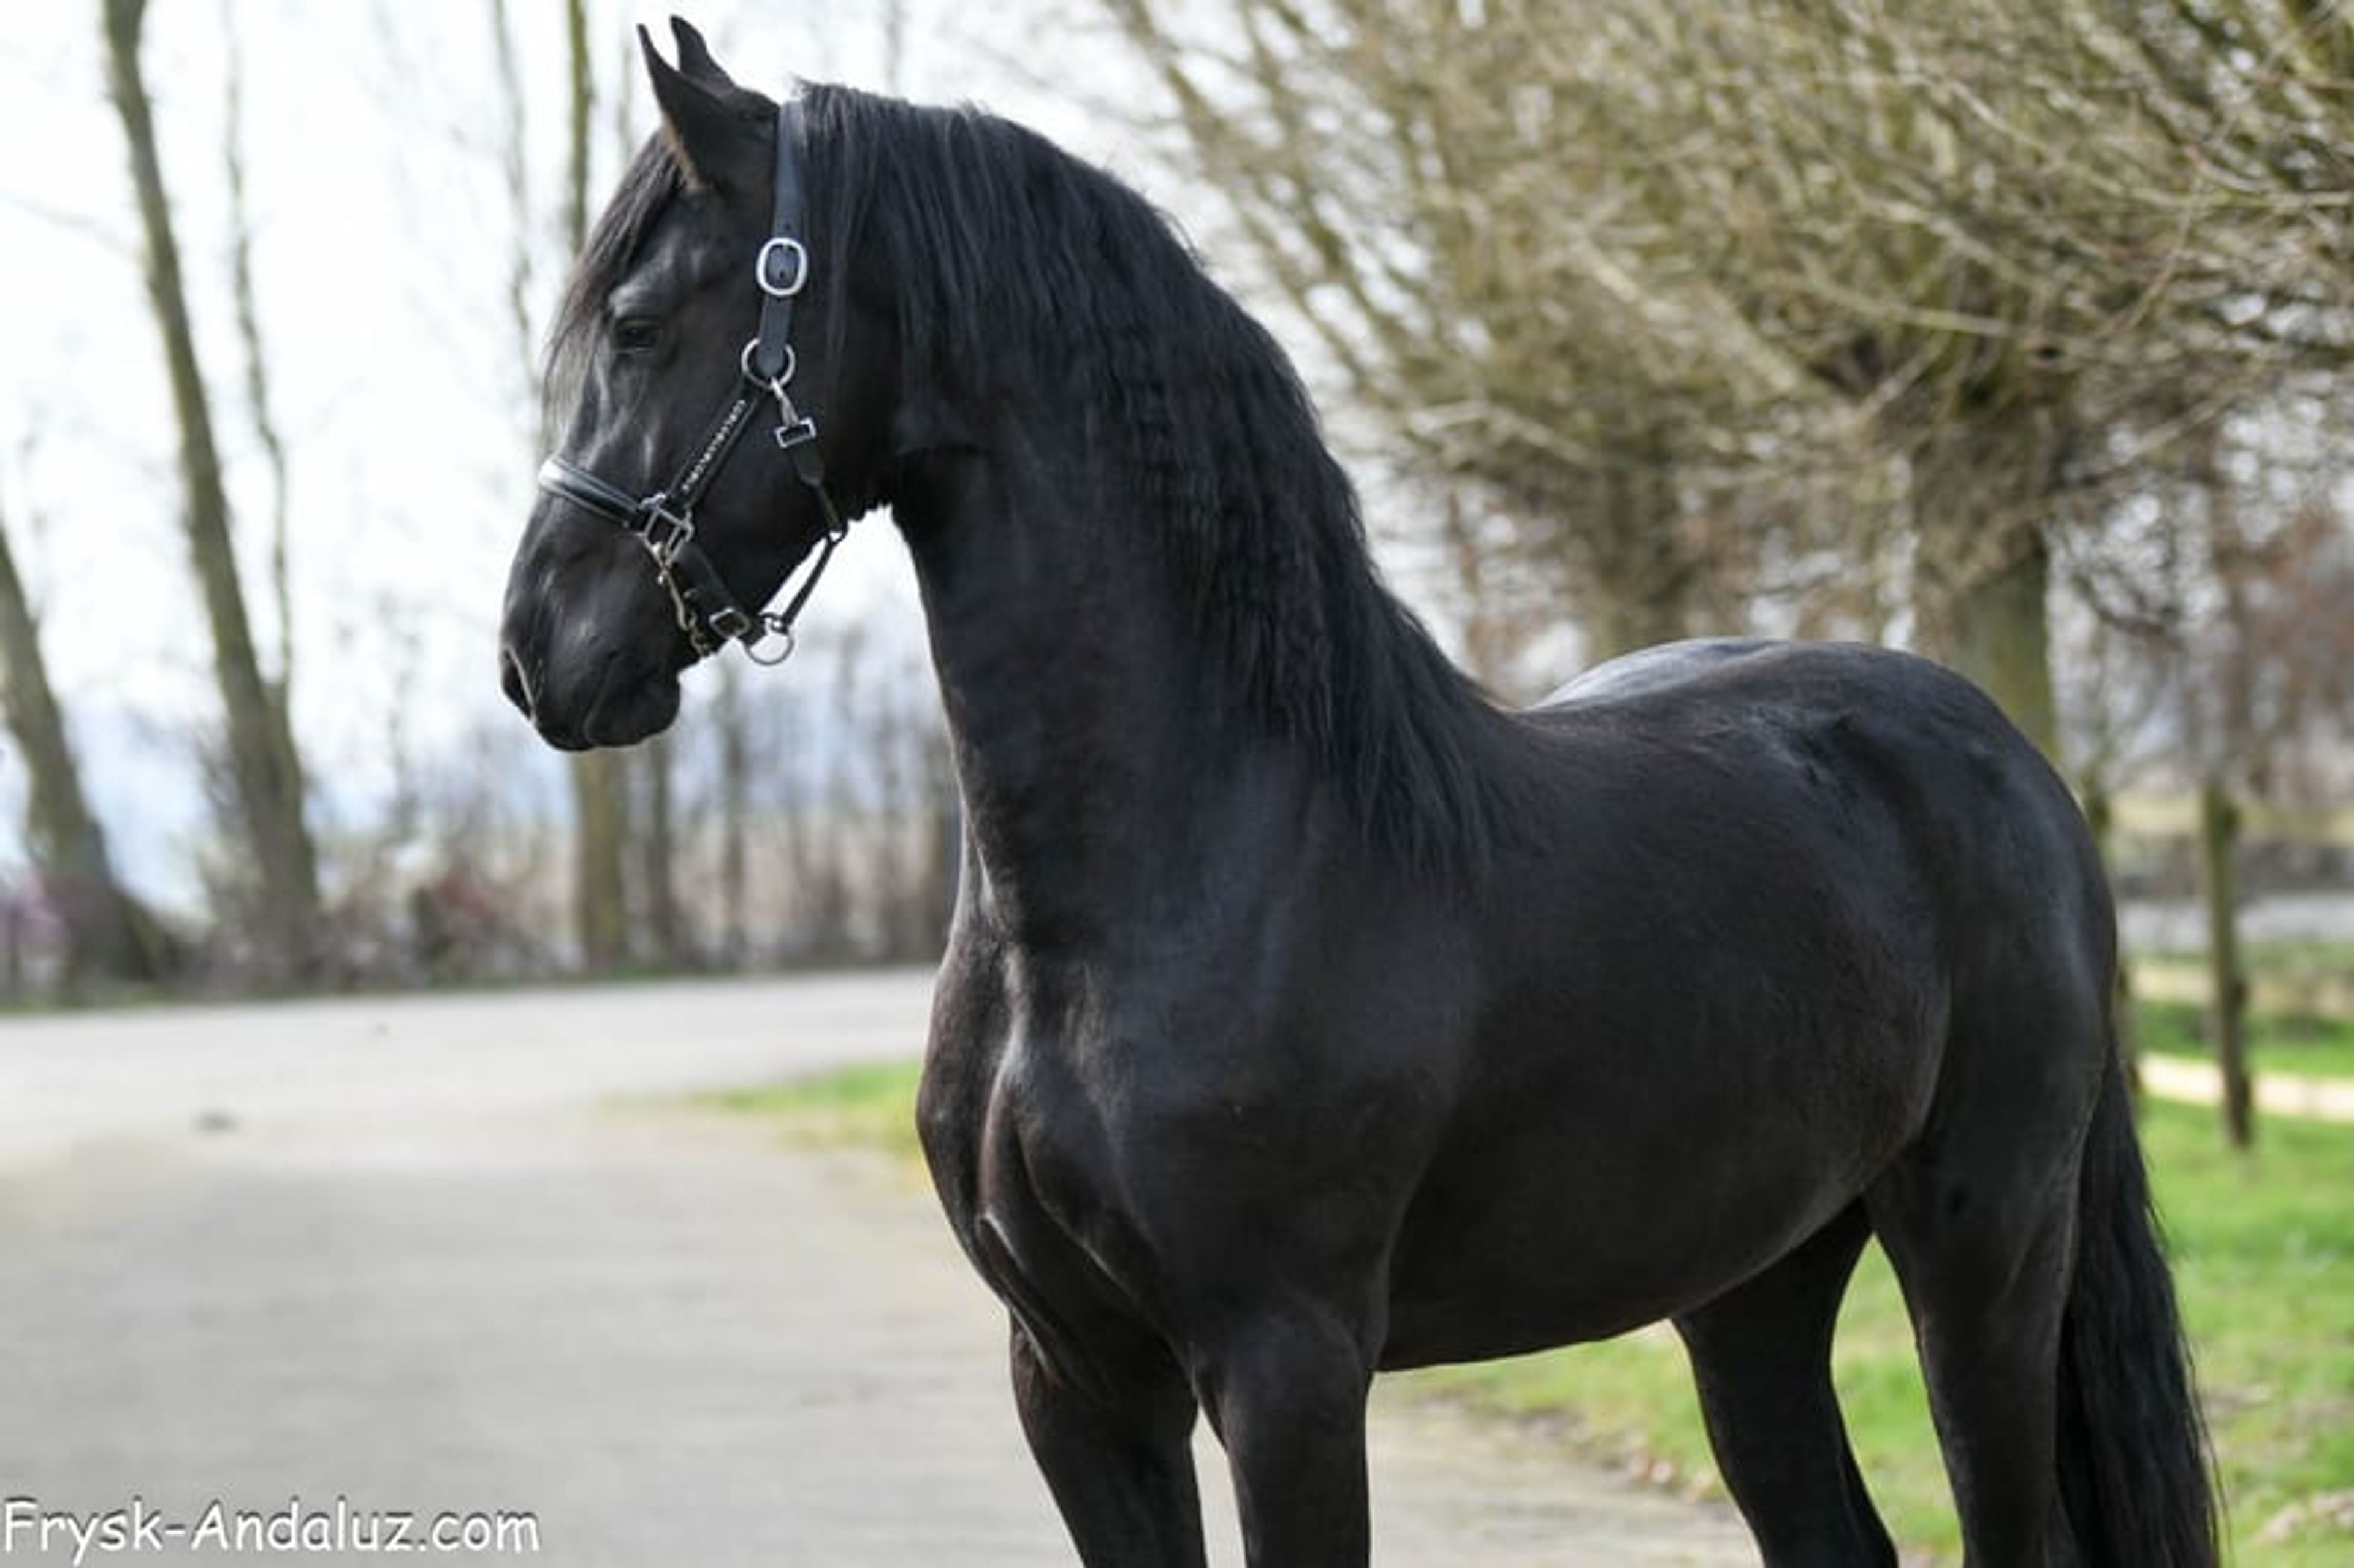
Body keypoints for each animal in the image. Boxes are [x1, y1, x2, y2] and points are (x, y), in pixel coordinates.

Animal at [498, 22, 2216, 1566]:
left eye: (639, 324)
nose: (537, 652)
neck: (1201, 857)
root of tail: (2005, 759)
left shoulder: (1287, 1374)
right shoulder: (1074, 1380)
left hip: (1985, 1257)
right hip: (1752, 1287)